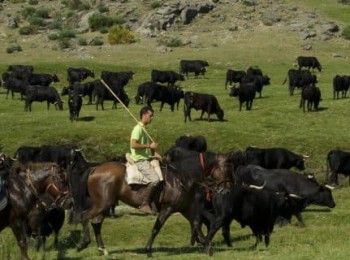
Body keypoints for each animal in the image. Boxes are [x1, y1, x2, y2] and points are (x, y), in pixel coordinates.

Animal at [67, 146, 232, 256]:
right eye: (225, 168)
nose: (227, 189)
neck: (180, 177)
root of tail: (94, 169)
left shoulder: (185, 208)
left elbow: (196, 224)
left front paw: (206, 245)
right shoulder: (168, 208)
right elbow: (156, 228)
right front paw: (148, 250)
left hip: (104, 205)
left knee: (96, 223)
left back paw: (102, 249)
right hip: (103, 204)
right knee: (85, 217)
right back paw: (84, 243)